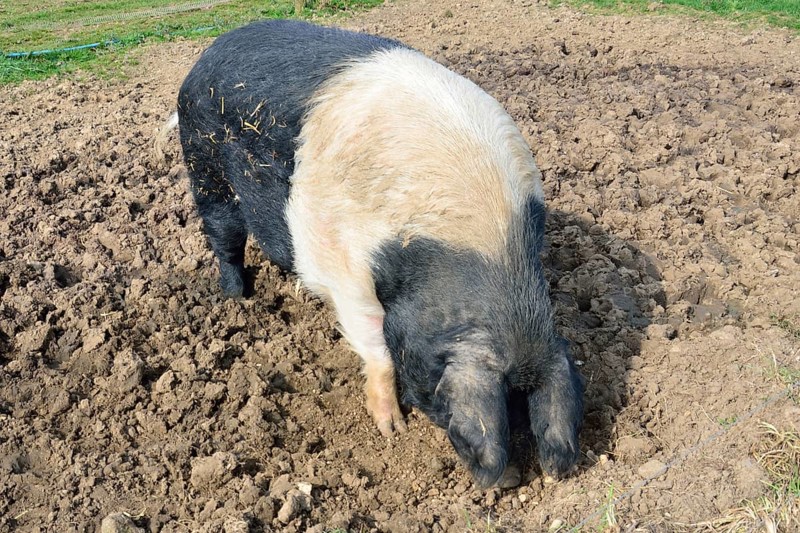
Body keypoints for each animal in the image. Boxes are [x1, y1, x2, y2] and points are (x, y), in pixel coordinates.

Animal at [172, 19, 584, 488]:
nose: (511, 480)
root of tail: (211, 49)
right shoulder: (348, 273)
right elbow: (377, 349)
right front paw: (393, 429)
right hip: (204, 163)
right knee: (223, 235)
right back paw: (237, 297)